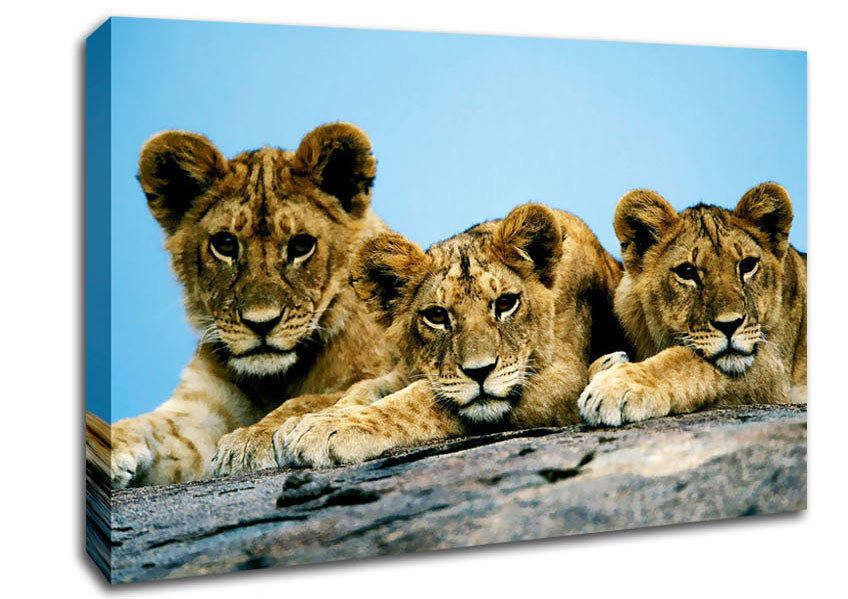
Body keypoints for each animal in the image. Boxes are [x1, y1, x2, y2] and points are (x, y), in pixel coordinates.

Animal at [109, 123, 395, 487]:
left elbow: (313, 400)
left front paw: (252, 438)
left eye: (301, 245)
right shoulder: (199, 413)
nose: (261, 323)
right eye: (225, 244)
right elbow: (149, 423)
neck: (273, 380)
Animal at [249, 203, 627, 468]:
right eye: (437, 316)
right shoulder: (405, 370)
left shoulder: (562, 378)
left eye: (506, 304)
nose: (480, 372)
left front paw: (326, 428)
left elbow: (420, 402)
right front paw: (305, 422)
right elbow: (362, 390)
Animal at [578, 182, 806, 426]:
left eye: (747, 265)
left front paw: (614, 387)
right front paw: (607, 364)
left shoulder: (774, 367)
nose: (730, 325)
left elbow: (685, 362)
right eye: (687, 272)